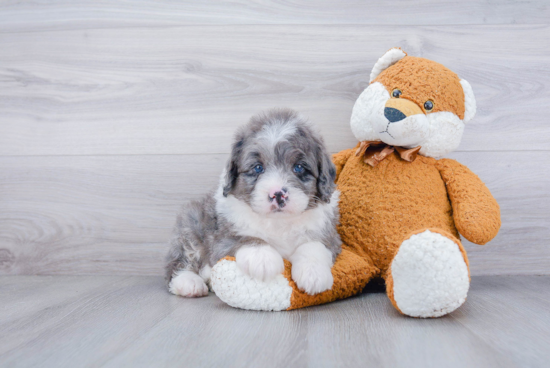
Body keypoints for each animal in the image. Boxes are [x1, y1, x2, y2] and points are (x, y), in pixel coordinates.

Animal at [166, 108, 342, 296]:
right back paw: (190, 282)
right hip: (190, 223)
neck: (279, 223)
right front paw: (263, 258)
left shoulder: (330, 236)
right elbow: (243, 237)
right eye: (258, 168)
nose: (277, 194)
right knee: (179, 262)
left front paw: (314, 273)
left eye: (299, 167)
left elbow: (314, 245)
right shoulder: (221, 238)